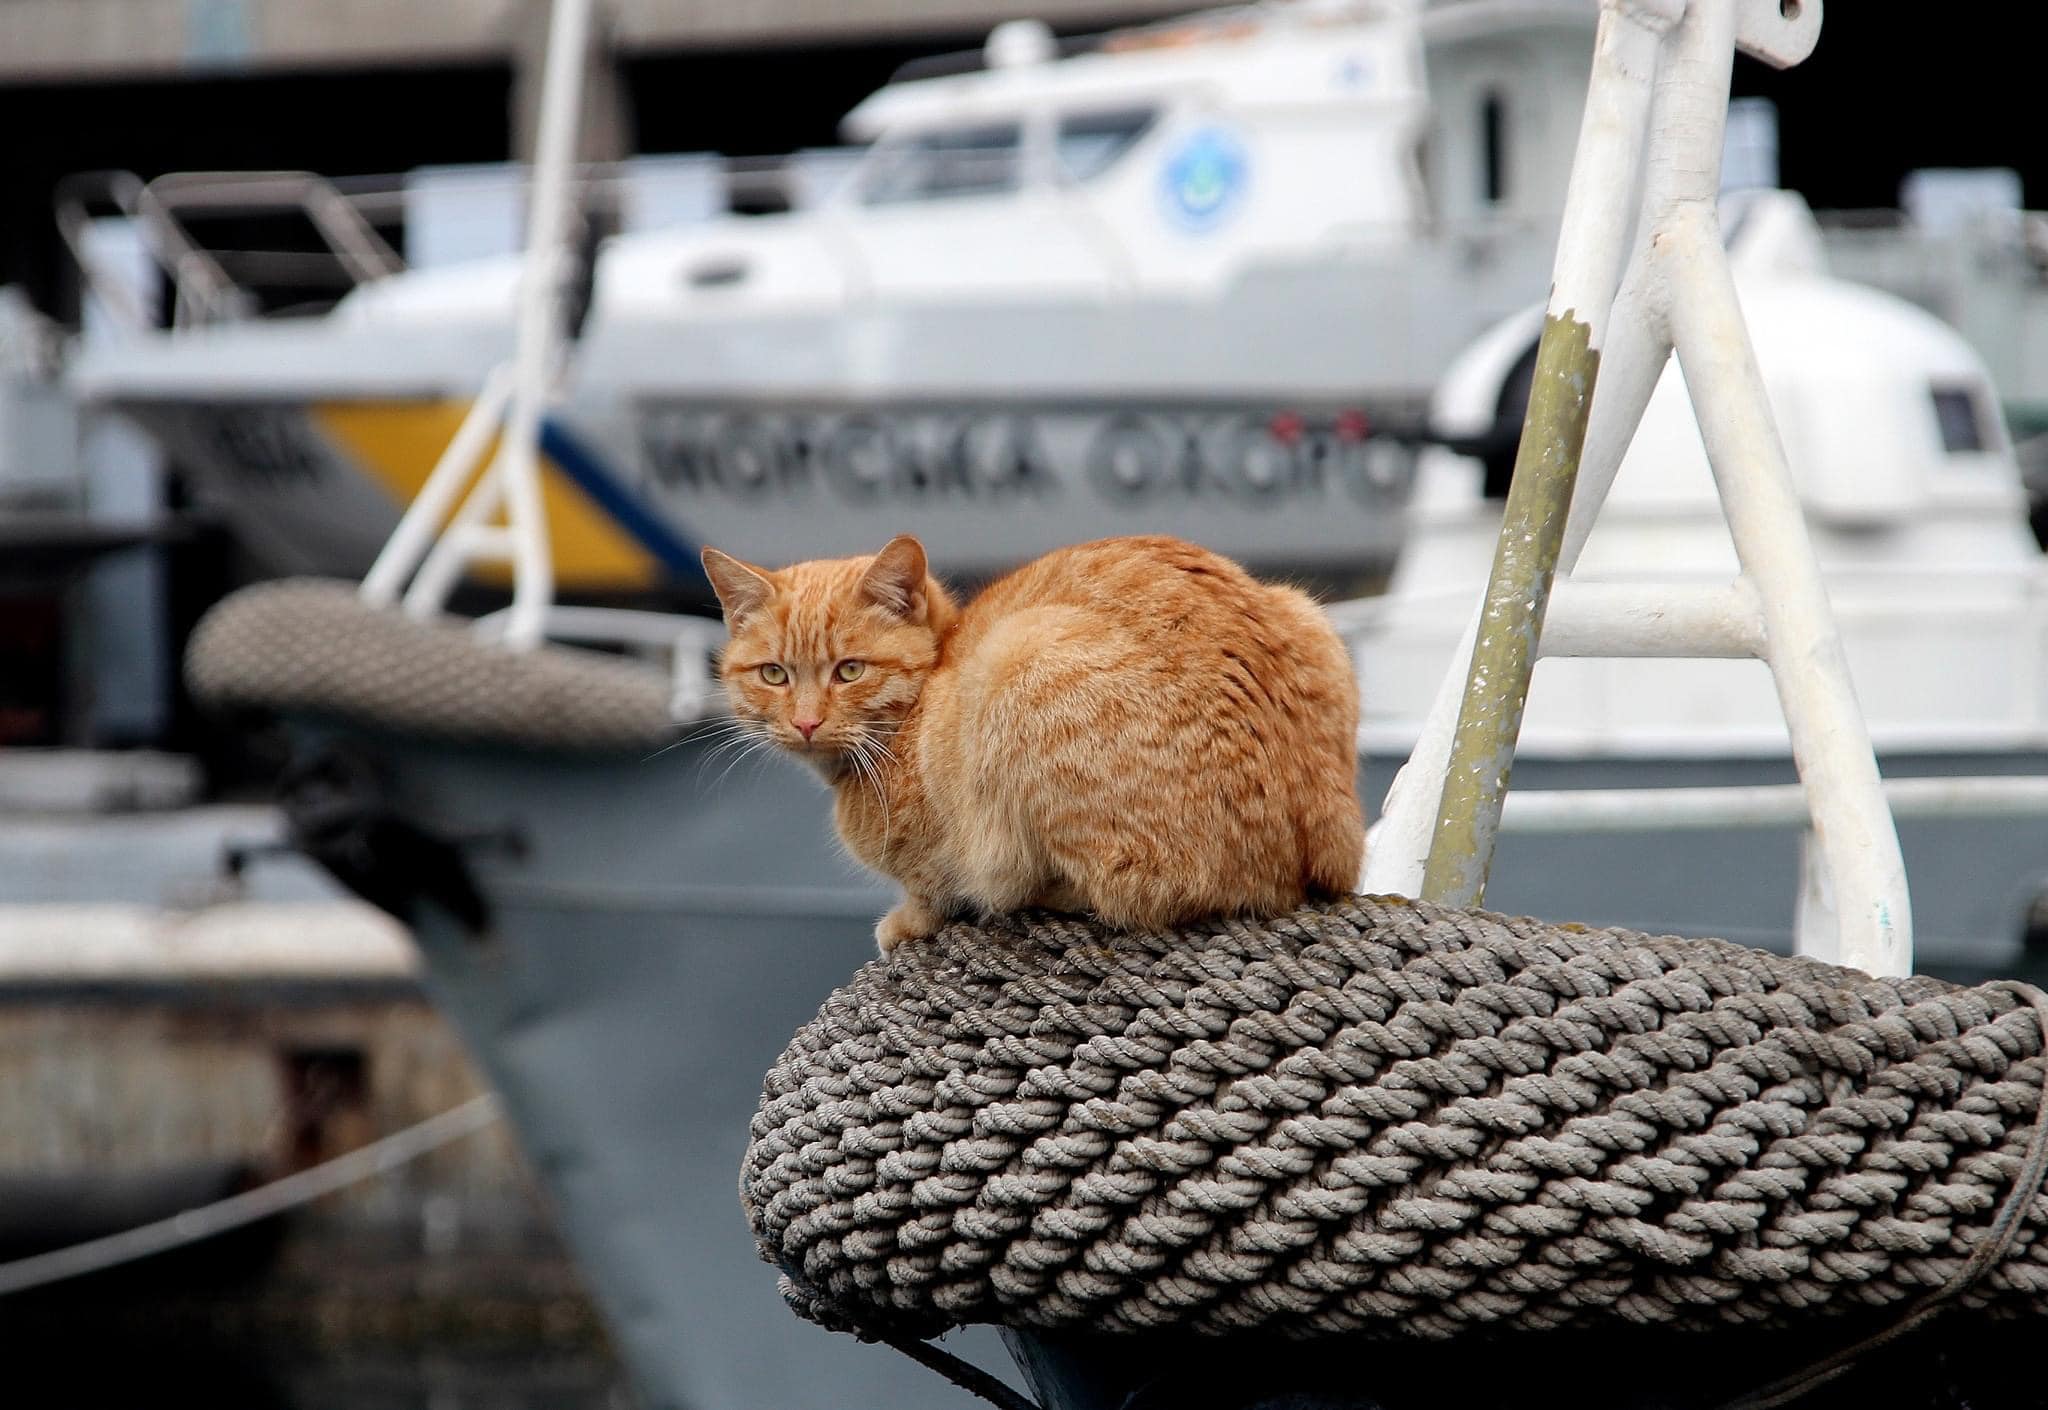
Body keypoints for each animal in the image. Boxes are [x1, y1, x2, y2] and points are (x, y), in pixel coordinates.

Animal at [700, 532, 1359, 950]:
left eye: (850, 670)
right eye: (774, 675)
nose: (806, 723)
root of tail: (1300, 862)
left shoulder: (937, 851)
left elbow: (931, 890)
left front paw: (907, 922)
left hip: (1021, 655)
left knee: (1129, 892)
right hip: (1306, 611)